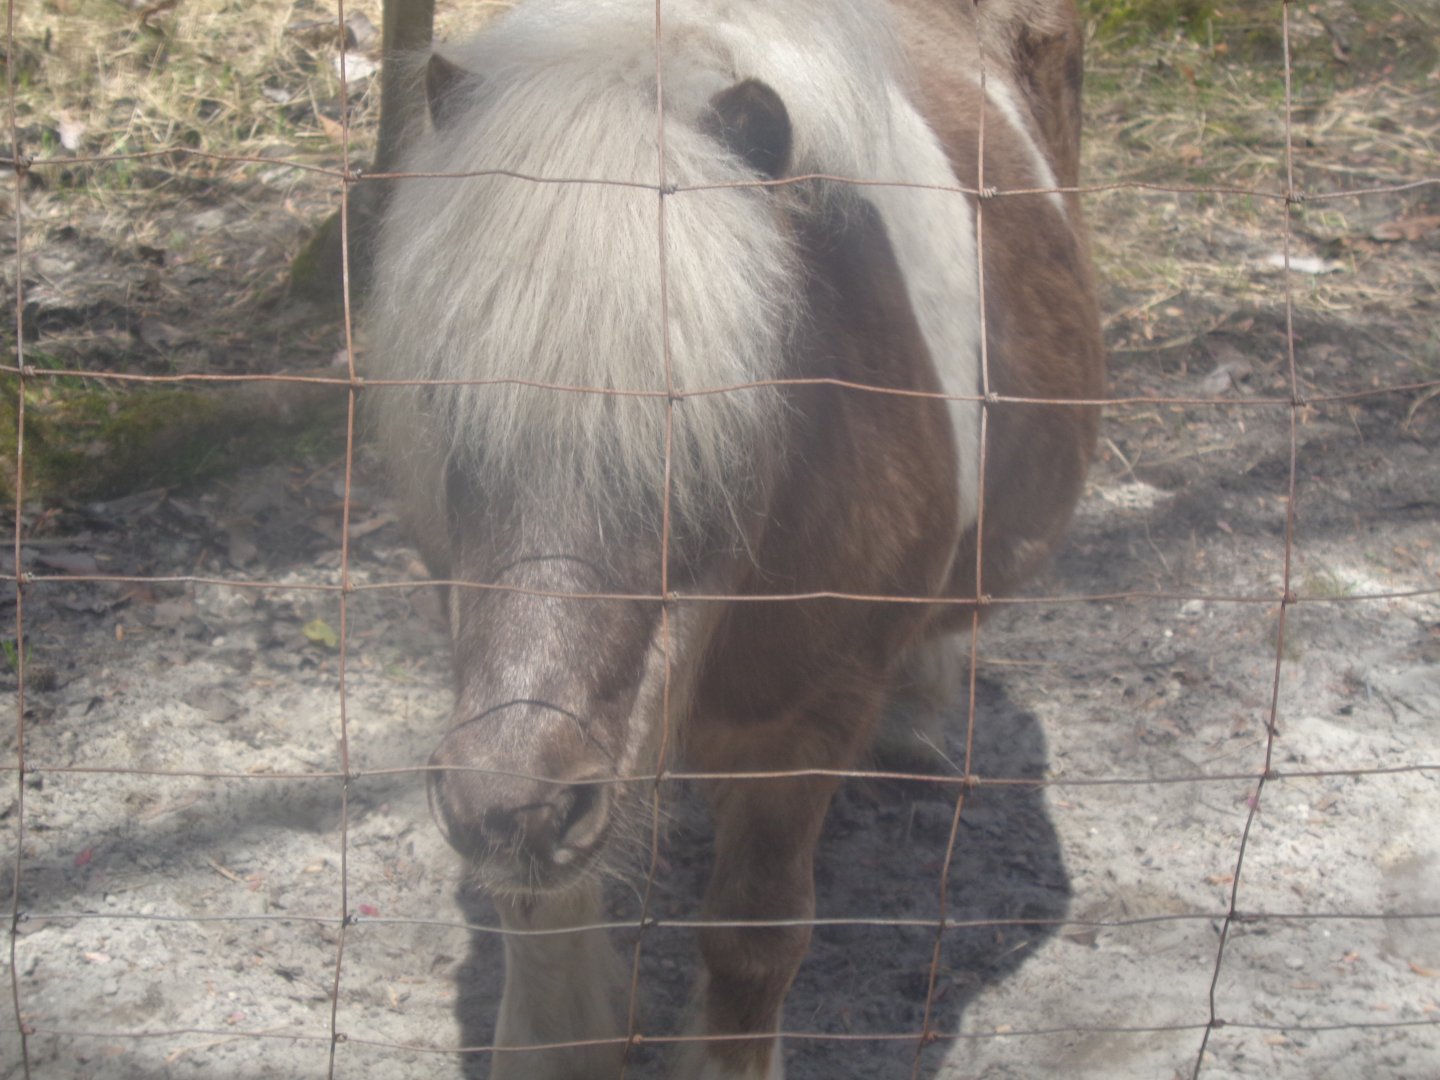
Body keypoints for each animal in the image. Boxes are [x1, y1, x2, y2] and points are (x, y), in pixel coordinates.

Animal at [365, 1, 1104, 1076]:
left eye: (709, 424)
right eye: (442, 403)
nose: (512, 805)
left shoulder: (803, 723)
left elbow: (754, 938)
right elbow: (542, 916)